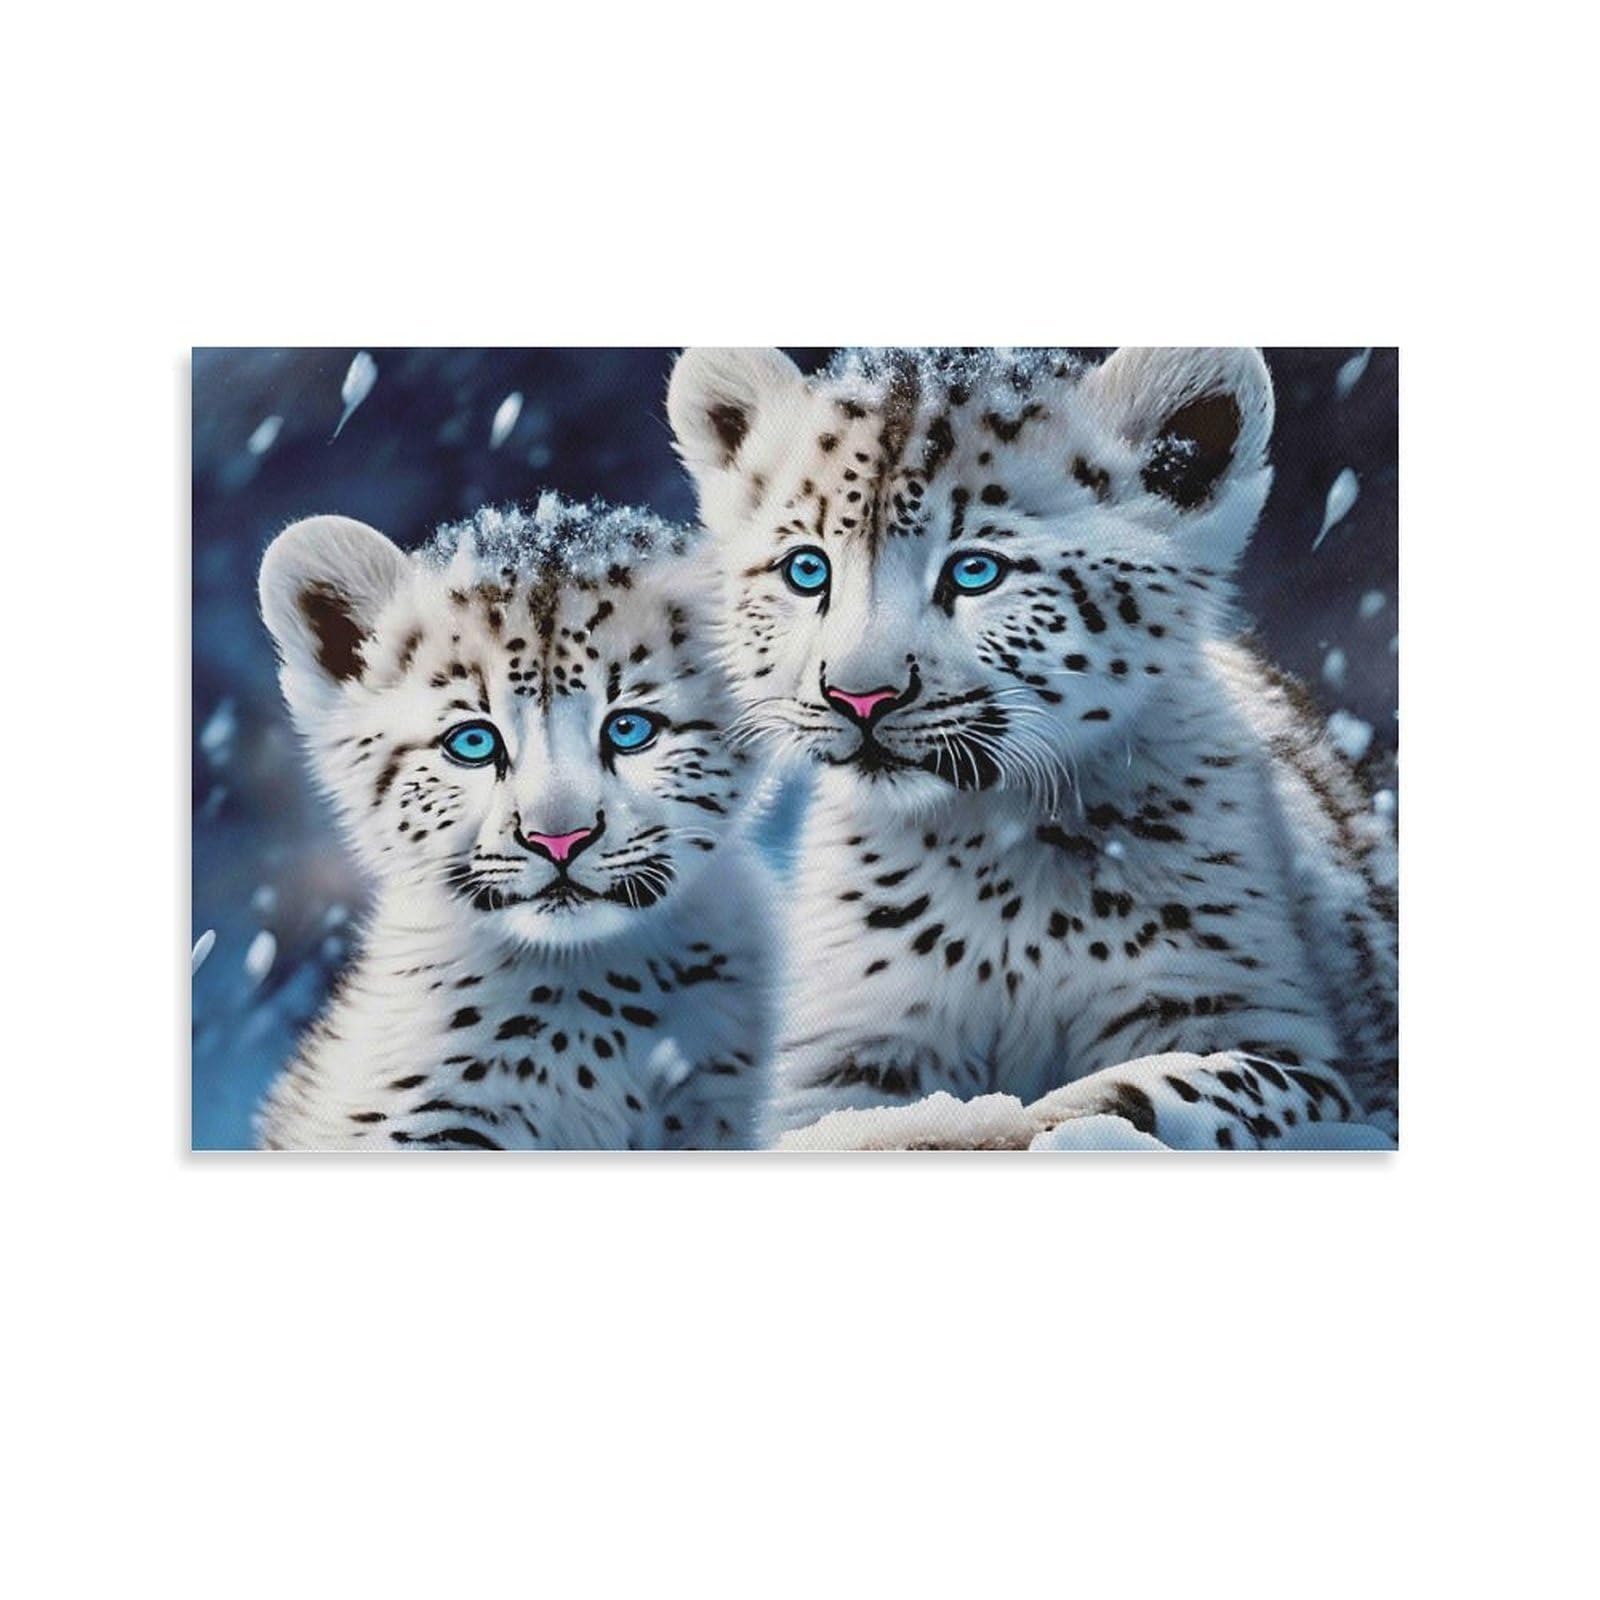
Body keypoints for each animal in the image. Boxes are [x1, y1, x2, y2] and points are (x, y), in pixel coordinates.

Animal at [668, 346, 1398, 1150]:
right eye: (806, 569)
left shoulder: (1248, 1020)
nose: (859, 698)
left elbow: (1195, 1086)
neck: (992, 857)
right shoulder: (850, 1044)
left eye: (975, 569)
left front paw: (1042, 1120)